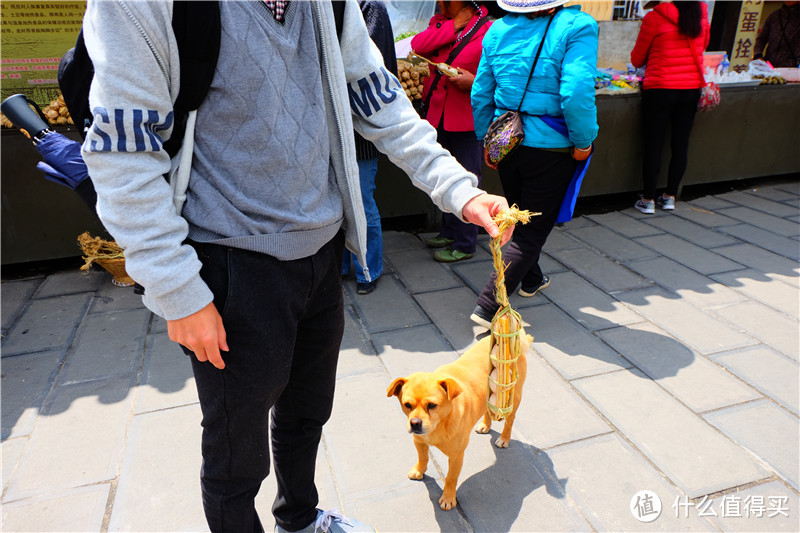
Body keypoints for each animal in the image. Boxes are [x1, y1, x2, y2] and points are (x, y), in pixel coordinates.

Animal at [388, 330, 532, 510]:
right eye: (407, 405)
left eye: (432, 405)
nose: (414, 423)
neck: (440, 424)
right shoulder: (419, 441)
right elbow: (423, 458)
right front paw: (419, 470)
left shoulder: (456, 456)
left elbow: (451, 478)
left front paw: (448, 498)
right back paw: (485, 425)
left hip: (513, 399)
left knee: (509, 421)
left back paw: (504, 438)